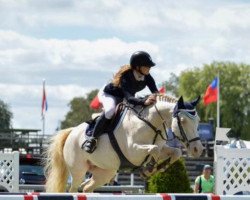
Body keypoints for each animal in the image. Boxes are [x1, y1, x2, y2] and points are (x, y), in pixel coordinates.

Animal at [45, 94, 204, 193]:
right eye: (183, 121)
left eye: (198, 121)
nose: (198, 149)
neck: (151, 123)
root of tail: (71, 132)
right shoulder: (133, 151)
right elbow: (154, 150)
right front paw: (149, 169)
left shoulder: (162, 147)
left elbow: (175, 152)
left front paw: (159, 168)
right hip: (78, 170)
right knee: (73, 189)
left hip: (105, 172)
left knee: (87, 188)